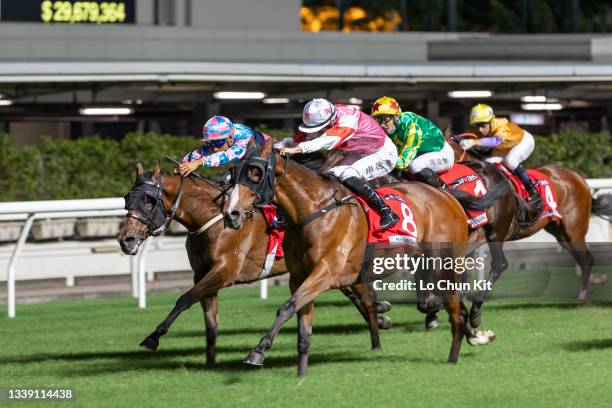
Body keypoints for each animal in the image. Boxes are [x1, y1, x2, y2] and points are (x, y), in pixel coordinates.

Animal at [116, 163, 390, 366]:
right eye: (127, 197)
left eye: (148, 200)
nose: (125, 240)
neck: (213, 218)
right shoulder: (202, 273)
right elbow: (209, 318)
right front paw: (210, 359)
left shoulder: (225, 271)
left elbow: (184, 298)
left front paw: (153, 337)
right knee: (356, 293)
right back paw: (380, 320)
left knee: (357, 294)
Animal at [222, 142, 490, 378]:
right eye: (234, 171)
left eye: (255, 172)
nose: (230, 214)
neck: (312, 212)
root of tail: (446, 194)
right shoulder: (298, 278)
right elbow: (301, 321)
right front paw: (301, 370)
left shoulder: (326, 273)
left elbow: (287, 307)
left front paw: (258, 350)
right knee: (456, 304)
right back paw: (471, 337)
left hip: (443, 263)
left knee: (456, 307)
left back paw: (456, 351)